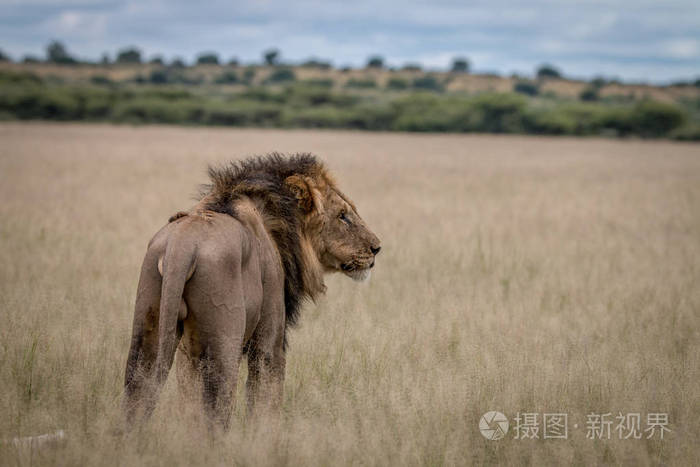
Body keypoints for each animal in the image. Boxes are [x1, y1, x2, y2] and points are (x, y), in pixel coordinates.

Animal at [123, 154, 380, 432]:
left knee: (139, 391)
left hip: (150, 324)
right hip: (224, 340)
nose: (377, 248)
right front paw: (266, 435)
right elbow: (266, 394)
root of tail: (182, 246)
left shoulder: (187, 348)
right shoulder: (270, 334)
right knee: (216, 405)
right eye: (343, 216)